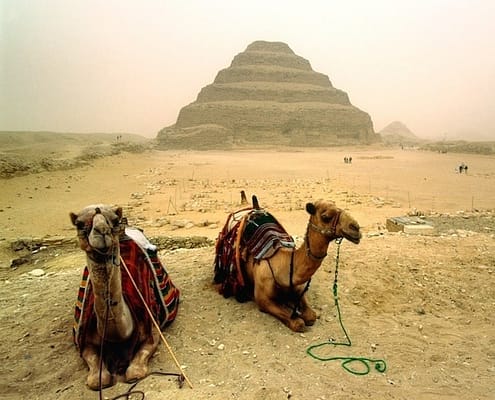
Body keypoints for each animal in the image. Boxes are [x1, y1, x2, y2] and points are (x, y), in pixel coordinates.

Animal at [69, 205, 179, 390]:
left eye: (114, 220)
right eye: (79, 224)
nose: (102, 231)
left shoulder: (152, 330)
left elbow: (135, 373)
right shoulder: (84, 342)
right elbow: (96, 380)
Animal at [213, 195, 360, 332]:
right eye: (326, 217)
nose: (356, 228)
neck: (283, 265)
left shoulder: (299, 289)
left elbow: (311, 316)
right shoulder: (263, 299)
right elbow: (298, 323)